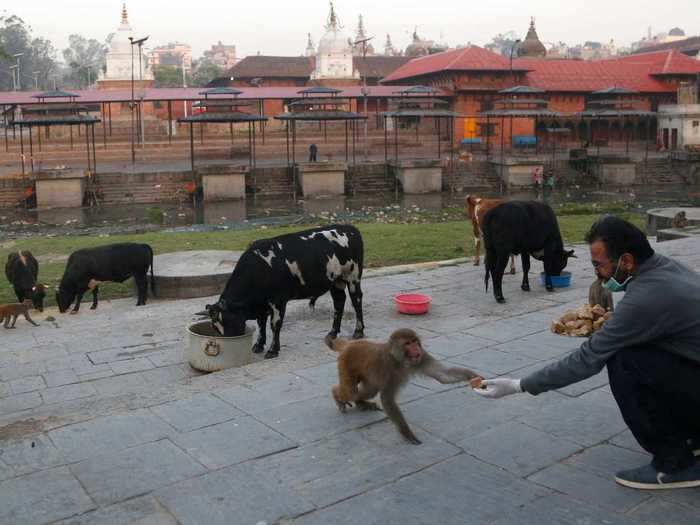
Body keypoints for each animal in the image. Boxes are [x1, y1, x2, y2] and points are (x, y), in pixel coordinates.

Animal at [204, 223, 364, 358]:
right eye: (215, 327)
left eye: (228, 321)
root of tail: (350, 227)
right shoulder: (262, 304)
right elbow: (261, 324)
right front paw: (259, 345)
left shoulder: (278, 301)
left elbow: (275, 324)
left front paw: (273, 350)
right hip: (335, 281)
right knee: (339, 302)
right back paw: (332, 333)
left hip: (353, 277)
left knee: (356, 301)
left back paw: (358, 332)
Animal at [326, 330, 482, 444]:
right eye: (407, 343)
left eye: (414, 341)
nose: (416, 347)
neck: (400, 360)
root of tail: (350, 343)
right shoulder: (388, 368)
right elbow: (387, 399)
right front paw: (407, 434)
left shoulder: (422, 356)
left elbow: (442, 375)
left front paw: (472, 376)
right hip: (346, 363)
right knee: (350, 391)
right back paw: (337, 395)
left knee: (370, 390)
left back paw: (360, 402)